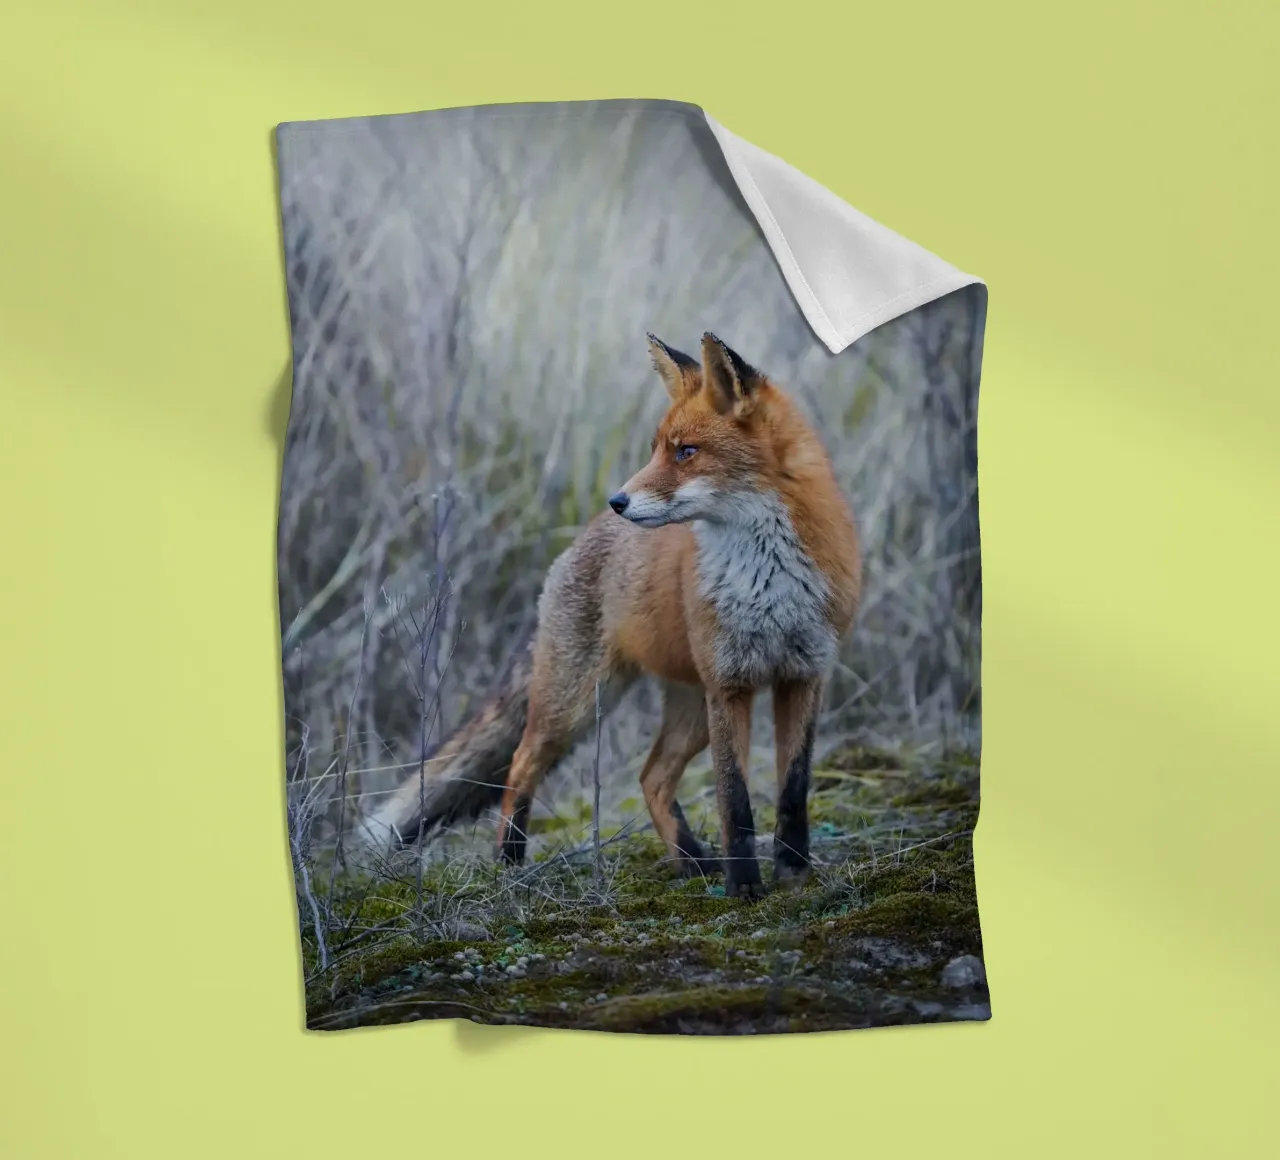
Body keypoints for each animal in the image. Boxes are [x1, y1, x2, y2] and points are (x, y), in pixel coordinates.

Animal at [362, 332, 861, 898]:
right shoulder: (729, 684)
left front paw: (794, 875)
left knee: (651, 777)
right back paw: (509, 863)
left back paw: (691, 861)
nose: (617, 499)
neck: (767, 579)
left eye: (686, 452)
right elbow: (735, 801)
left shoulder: (803, 675)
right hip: (578, 703)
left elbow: (793, 791)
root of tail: (580, 539)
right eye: (657, 449)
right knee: (520, 766)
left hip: (690, 709)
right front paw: (745, 889)